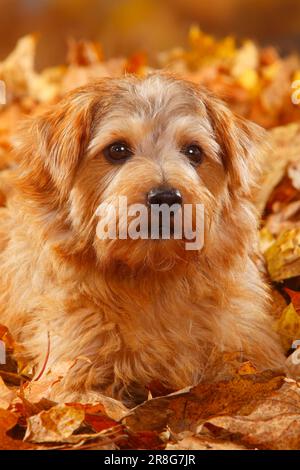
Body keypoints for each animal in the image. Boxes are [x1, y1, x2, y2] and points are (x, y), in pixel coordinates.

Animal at [0, 73, 286, 404]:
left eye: (194, 152)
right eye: (117, 150)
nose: (166, 197)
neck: (152, 276)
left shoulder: (252, 349)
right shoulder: (66, 371)